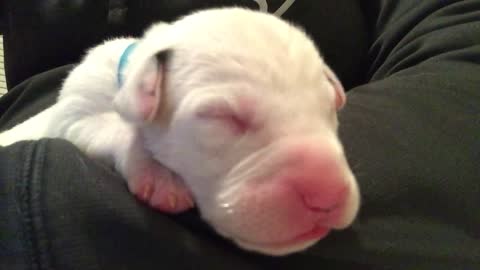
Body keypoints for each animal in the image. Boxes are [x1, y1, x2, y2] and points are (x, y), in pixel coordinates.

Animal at [0, 6, 360, 255]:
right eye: (222, 117)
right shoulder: (72, 115)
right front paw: (160, 176)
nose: (327, 195)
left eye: (329, 108)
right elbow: (113, 127)